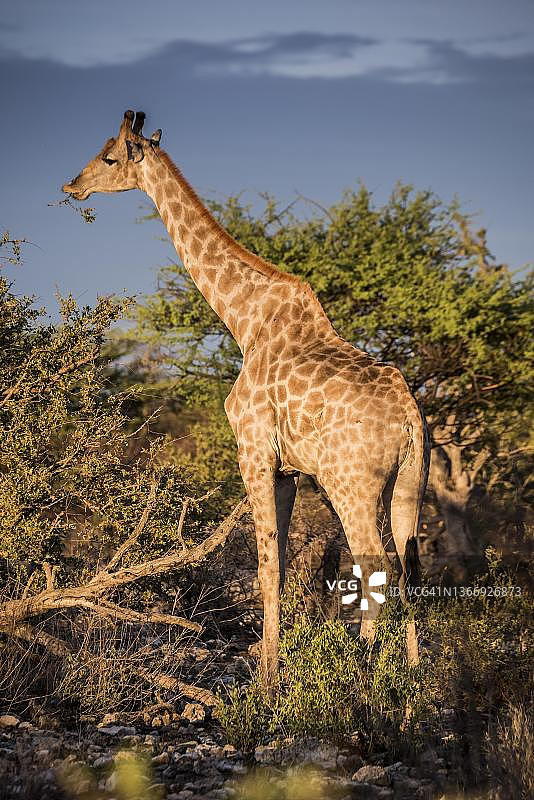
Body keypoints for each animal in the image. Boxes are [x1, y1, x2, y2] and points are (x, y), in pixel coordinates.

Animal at [63, 111, 430, 689]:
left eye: (109, 156)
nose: (71, 186)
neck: (245, 321)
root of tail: (410, 415)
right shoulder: (289, 470)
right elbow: (276, 566)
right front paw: (272, 669)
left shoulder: (252, 450)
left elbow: (264, 566)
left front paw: (265, 681)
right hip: (409, 481)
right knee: (411, 565)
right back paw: (413, 678)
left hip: (352, 484)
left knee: (376, 565)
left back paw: (365, 670)